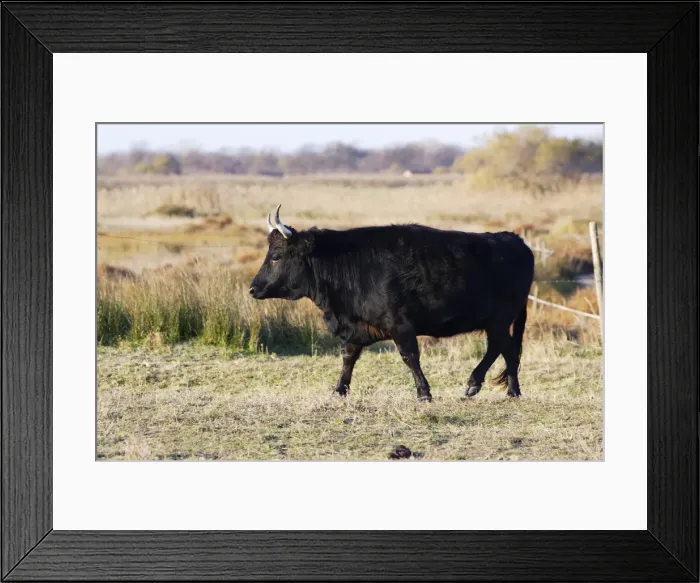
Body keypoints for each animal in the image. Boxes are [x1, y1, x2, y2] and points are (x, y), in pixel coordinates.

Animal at [249, 205, 535, 402]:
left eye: (276, 256)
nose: (253, 288)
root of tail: (513, 239)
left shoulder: (400, 325)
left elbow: (410, 357)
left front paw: (423, 393)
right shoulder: (356, 328)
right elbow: (348, 358)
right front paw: (339, 390)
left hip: (499, 318)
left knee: (499, 347)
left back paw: (474, 383)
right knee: (508, 349)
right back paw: (512, 391)